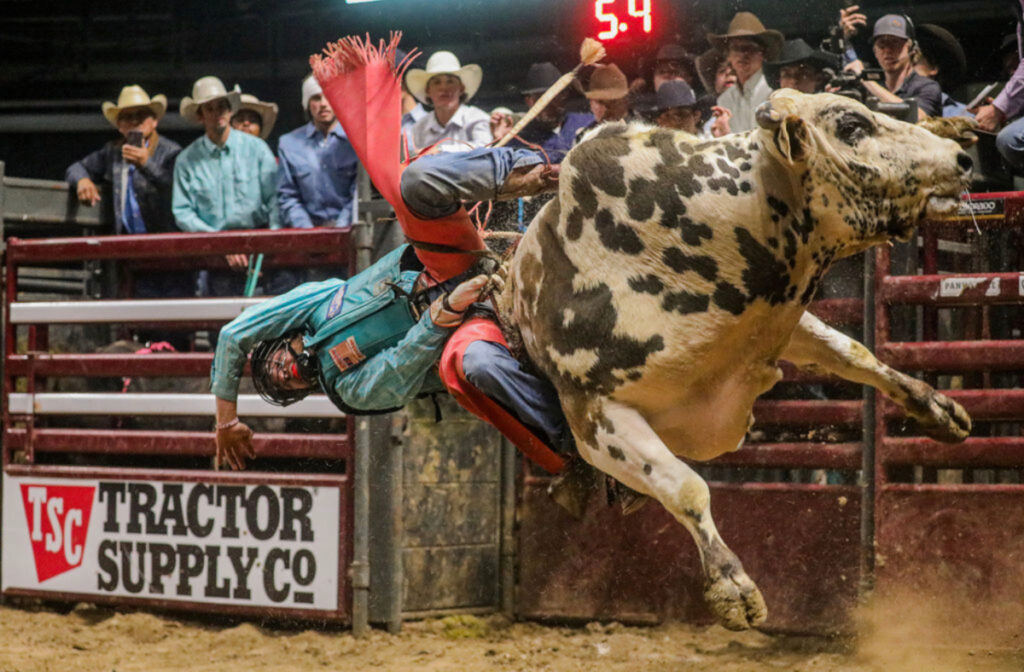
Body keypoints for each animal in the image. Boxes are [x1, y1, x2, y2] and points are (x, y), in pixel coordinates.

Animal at [507, 89, 970, 631]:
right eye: (853, 126)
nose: (961, 157)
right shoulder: (596, 416)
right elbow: (687, 488)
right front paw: (733, 587)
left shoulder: (775, 316)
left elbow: (853, 351)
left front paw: (938, 408)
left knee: (851, 352)